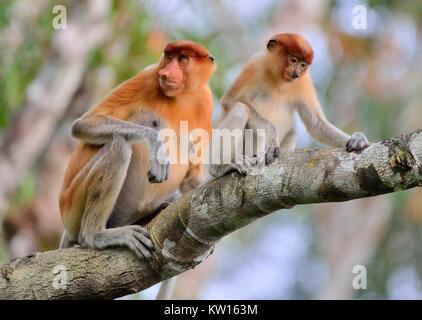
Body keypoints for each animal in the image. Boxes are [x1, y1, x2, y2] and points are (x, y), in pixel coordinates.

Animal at [59, 40, 216, 300]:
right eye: (168, 56)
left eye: (183, 59)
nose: (166, 73)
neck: (181, 96)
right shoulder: (148, 77)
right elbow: (84, 124)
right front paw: (156, 145)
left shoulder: (205, 100)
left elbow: (193, 177)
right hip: (72, 206)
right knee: (121, 145)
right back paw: (95, 236)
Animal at [211, 33, 370, 176]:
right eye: (293, 60)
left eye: (303, 65)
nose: (297, 73)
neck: (278, 78)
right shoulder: (255, 65)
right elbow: (230, 100)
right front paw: (271, 137)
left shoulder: (304, 81)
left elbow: (316, 123)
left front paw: (357, 139)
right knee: (240, 110)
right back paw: (220, 167)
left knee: (293, 131)